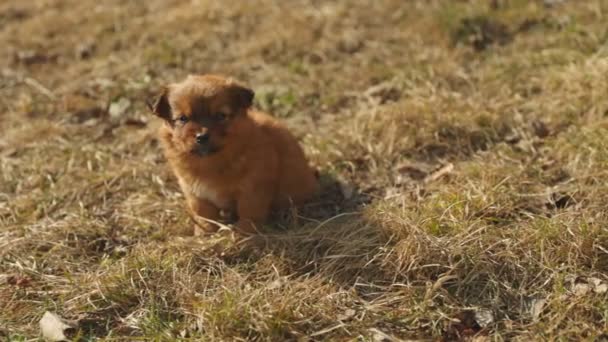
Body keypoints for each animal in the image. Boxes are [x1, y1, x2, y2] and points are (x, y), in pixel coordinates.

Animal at [148, 74, 318, 235]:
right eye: (183, 119)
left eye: (221, 115)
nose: (202, 136)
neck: (210, 162)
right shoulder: (195, 192)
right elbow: (203, 214)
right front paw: (205, 232)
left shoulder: (253, 188)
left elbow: (249, 212)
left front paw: (243, 232)